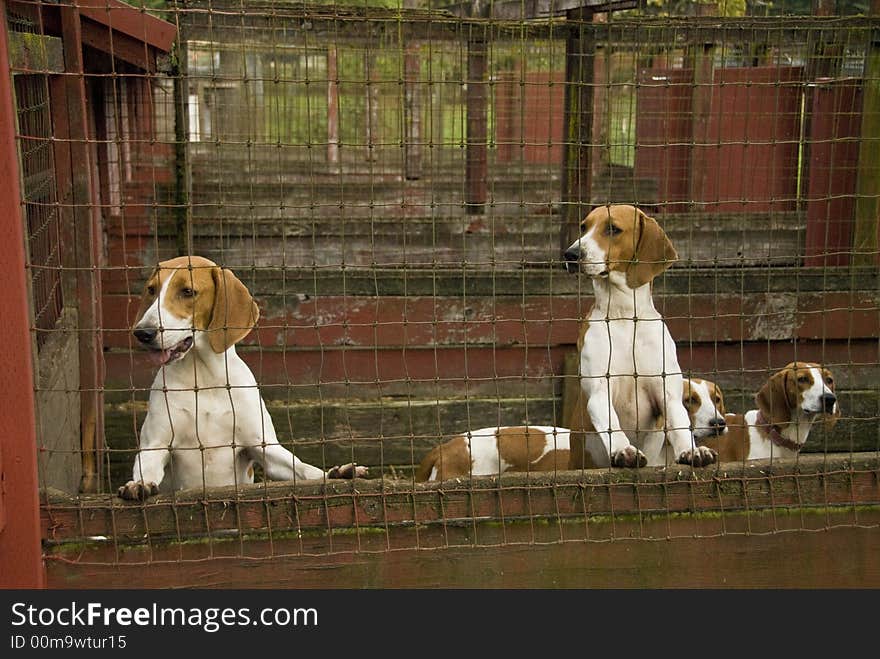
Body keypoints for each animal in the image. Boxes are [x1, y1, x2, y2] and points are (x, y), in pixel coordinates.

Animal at [118, 256, 366, 500]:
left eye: (187, 291)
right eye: (151, 289)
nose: (142, 333)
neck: (204, 377)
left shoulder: (264, 447)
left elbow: (304, 470)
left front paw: (335, 473)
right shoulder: (156, 445)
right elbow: (146, 467)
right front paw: (138, 484)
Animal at [560, 206, 720, 470]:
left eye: (613, 228)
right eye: (583, 227)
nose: (571, 254)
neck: (624, 315)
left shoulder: (666, 392)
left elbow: (679, 423)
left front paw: (692, 450)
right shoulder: (599, 391)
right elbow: (612, 424)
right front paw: (624, 450)